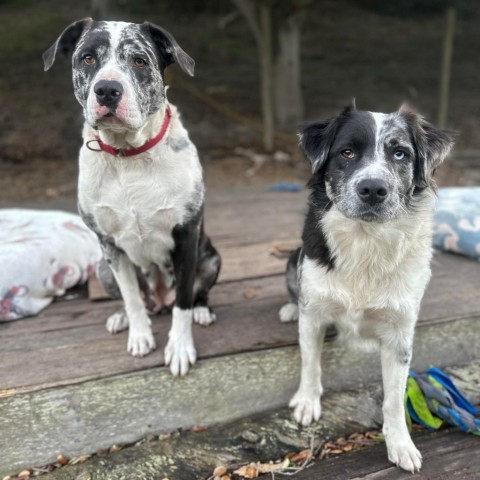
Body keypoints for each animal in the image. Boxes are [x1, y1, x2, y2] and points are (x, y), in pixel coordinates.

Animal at [43, 18, 221, 376]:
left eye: (139, 61)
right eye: (87, 58)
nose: (107, 90)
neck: (128, 156)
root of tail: (160, 299)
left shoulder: (186, 237)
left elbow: (183, 302)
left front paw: (180, 347)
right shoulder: (110, 245)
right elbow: (131, 297)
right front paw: (139, 335)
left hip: (210, 258)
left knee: (192, 296)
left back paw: (201, 310)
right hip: (102, 269)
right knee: (137, 299)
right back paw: (121, 318)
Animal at [280, 102, 452, 472]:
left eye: (400, 153)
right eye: (347, 152)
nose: (373, 189)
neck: (365, 240)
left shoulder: (400, 334)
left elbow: (394, 398)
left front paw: (400, 444)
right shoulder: (314, 313)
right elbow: (310, 362)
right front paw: (307, 402)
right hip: (293, 257)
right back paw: (288, 308)